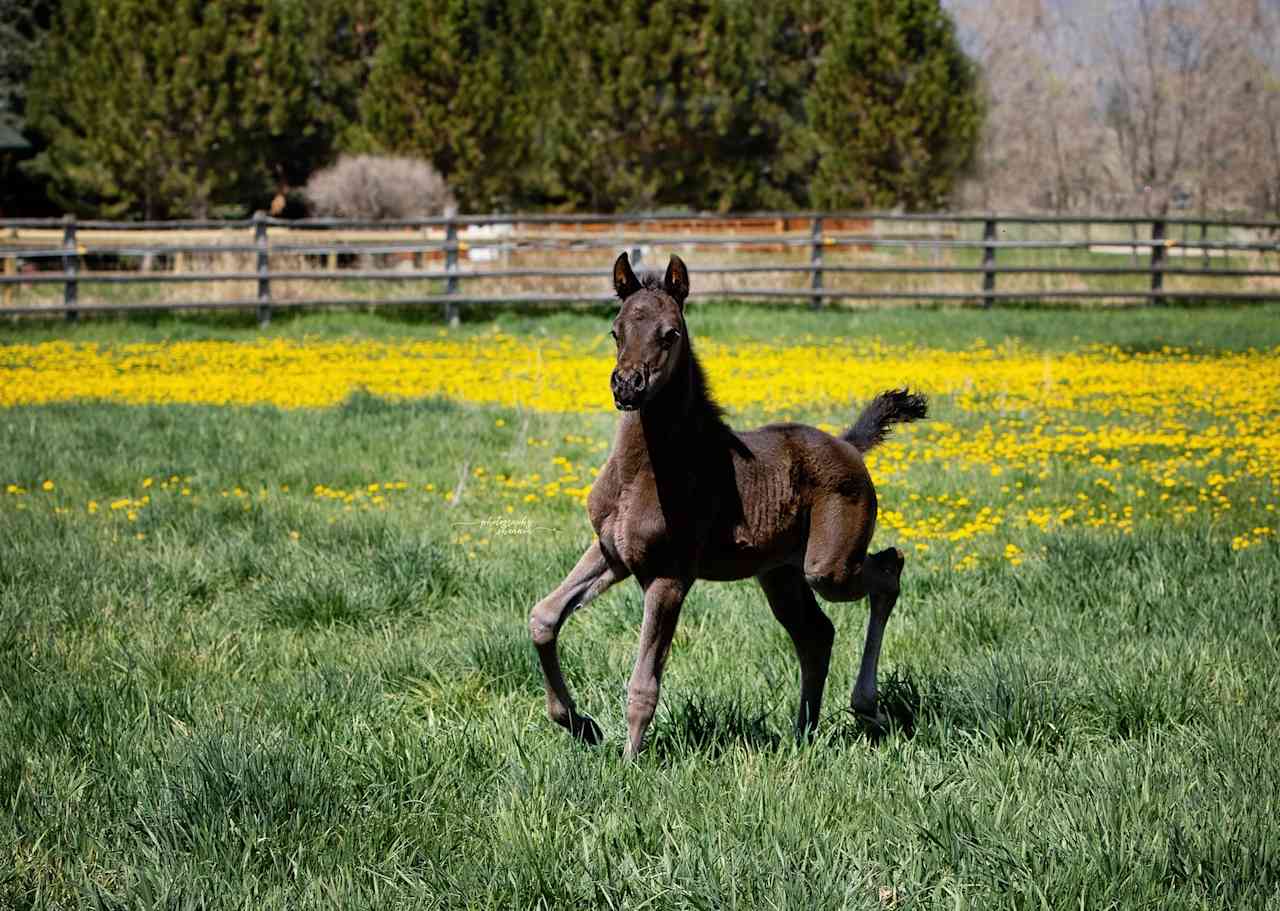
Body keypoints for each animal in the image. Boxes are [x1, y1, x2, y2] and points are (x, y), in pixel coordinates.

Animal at [524, 252, 926, 757]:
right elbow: (543, 618)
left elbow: (643, 685)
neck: (644, 472)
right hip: (780, 572)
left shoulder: (669, 575)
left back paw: (865, 707)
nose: (627, 386)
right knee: (816, 634)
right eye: (615, 330)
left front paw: (628, 763)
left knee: (887, 572)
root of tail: (850, 444)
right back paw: (803, 733)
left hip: (827, 566)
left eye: (670, 333)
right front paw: (581, 725)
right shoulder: (612, 552)